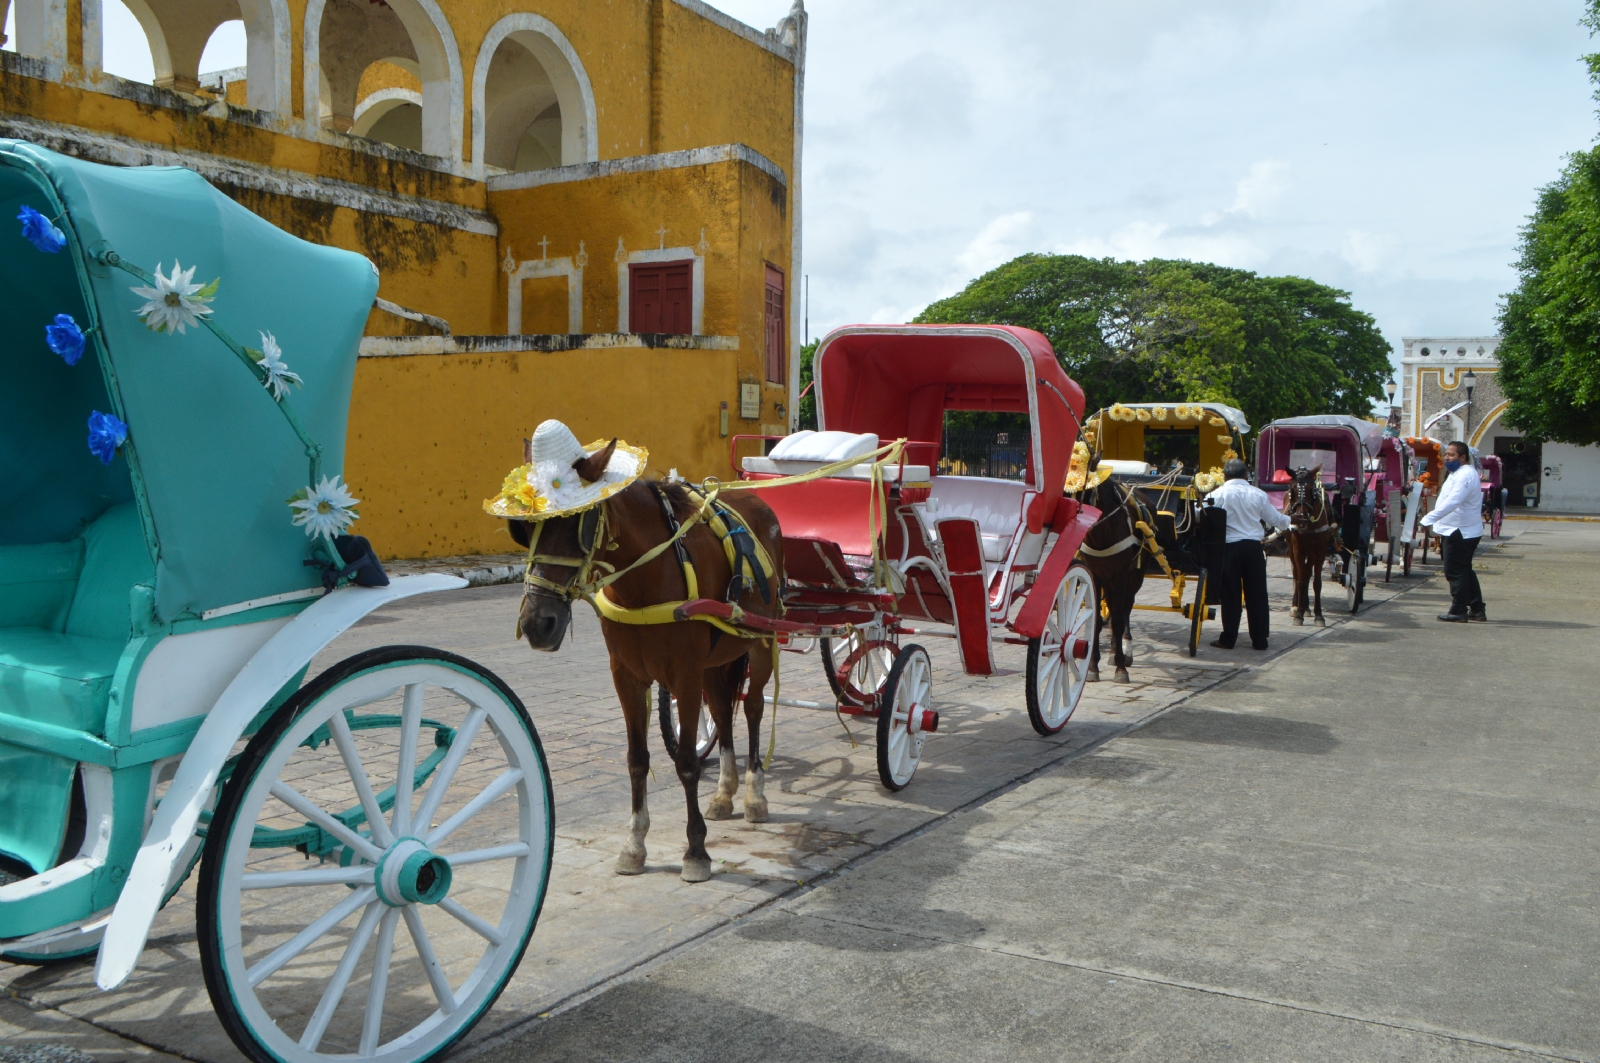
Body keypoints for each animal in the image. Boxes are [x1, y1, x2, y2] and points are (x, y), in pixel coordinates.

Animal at [508, 445, 784, 883]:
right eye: (524, 529)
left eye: (578, 524)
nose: (538, 623)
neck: (648, 577)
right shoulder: (627, 677)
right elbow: (637, 760)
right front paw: (634, 846)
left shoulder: (684, 676)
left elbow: (686, 762)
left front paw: (696, 851)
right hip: (716, 660)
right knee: (723, 710)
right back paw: (724, 792)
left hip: (760, 641)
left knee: (754, 708)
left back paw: (755, 795)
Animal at [1075, 473, 1152, 681]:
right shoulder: (1096, 575)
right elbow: (1095, 620)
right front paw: (1093, 666)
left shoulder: (1120, 575)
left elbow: (1118, 619)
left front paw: (1121, 667)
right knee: (1112, 605)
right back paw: (1112, 650)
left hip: (1134, 576)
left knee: (1125, 608)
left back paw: (1125, 649)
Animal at [1286, 467, 1337, 630]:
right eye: (1292, 489)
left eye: (1311, 490)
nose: (1301, 519)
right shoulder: (1298, 550)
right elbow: (1301, 580)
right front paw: (1299, 614)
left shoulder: (1319, 551)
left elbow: (1316, 582)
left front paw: (1318, 615)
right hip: (1292, 549)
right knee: (1298, 574)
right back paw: (1297, 606)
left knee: (1307, 573)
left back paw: (1306, 607)